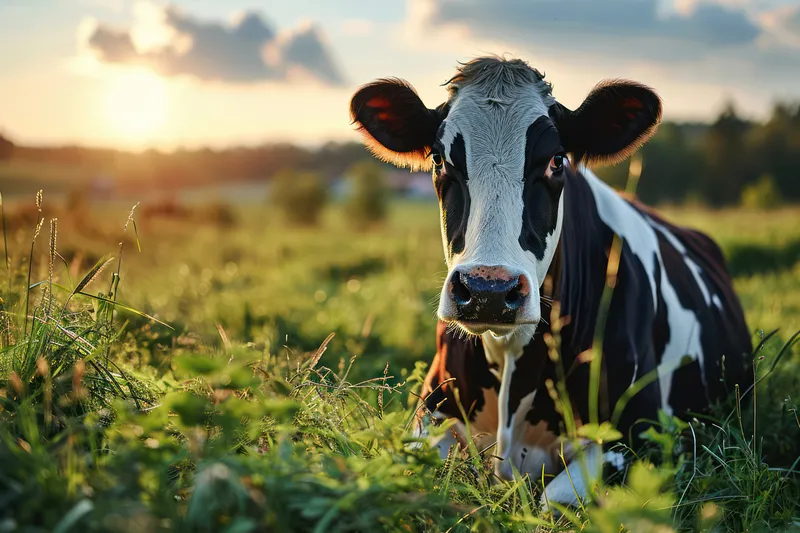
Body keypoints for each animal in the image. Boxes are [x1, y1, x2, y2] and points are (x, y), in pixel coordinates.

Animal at [349, 56, 752, 508]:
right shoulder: (430, 412)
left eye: (557, 160)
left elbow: (552, 502)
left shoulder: (640, 436)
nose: (488, 291)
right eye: (438, 159)